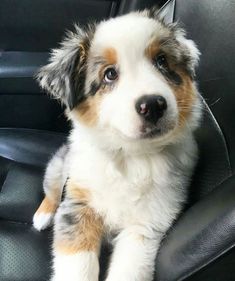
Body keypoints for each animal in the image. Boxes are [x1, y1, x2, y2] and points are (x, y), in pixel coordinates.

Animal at [32, 8, 202, 280]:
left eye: (162, 61)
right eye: (109, 74)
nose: (153, 105)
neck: (130, 156)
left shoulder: (146, 223)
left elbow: (129, 268)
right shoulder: (78, 204)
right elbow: (77, 265)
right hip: (59, 166)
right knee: (52, 191)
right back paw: (43, 215)